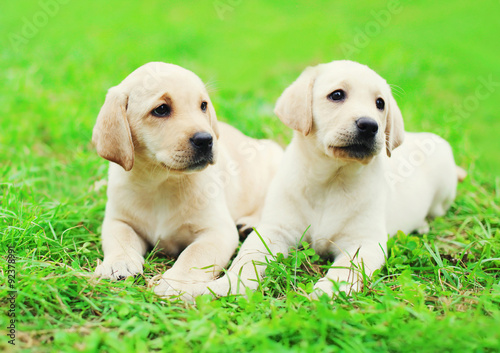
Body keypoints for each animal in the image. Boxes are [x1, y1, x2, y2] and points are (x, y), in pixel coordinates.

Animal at [91, 62, 284, 296]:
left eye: (203, 106)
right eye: (161, 109)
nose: (206, 140)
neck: (161, 182)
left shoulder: (217, 231)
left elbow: (194, 255)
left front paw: (174, 283)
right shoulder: (118, 219)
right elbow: (120, 238)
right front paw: (118, 263)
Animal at [197, 59, 466, 296]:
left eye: (380, 103)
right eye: (337, 95)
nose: (370, 125)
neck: (331, 179)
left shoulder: (364, 242)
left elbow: (346, 269)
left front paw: (327, 291)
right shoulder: (276, 230)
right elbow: (246, 260)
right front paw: (224, 286)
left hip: (444, 188)